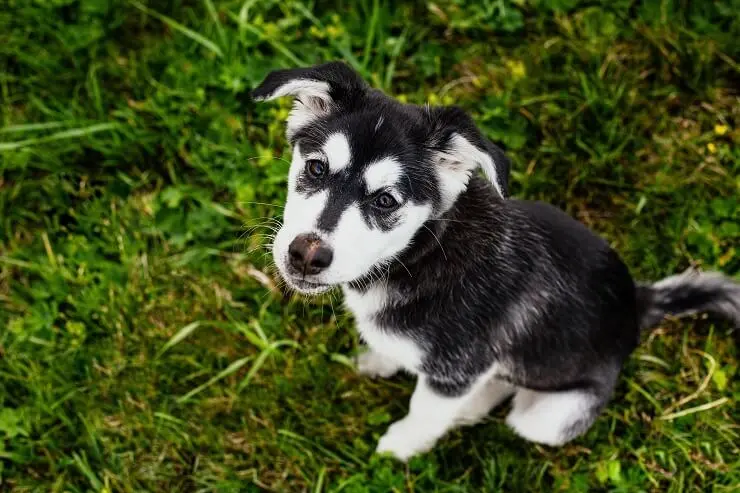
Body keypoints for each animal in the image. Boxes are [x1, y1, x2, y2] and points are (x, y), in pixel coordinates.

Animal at [250, 62, 740, 462]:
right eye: (316, 168)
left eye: (386, 200)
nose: (306, 255)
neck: (422, 253)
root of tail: (637, 302)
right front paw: (379, 360)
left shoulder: (455, 371)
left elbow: (423, 412)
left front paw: (400, 447)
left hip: (547, 417)